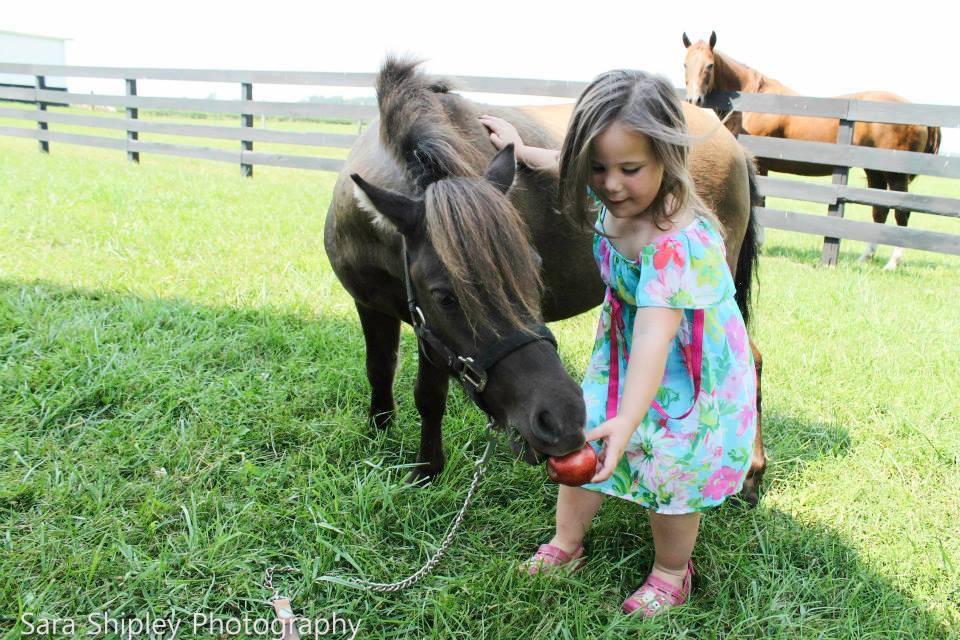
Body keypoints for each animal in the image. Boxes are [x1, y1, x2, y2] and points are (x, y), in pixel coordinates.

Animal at [682, 31, 942, 270]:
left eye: (709, 65)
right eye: (685, 64)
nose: (694, 99)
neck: (754, 96)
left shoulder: (761, 161)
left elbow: (762, 201)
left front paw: (761, 241)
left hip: (896, 175)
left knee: (901, 213)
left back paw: (893, 261)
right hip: (874, 171)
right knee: (879, 211)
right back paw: (866, 256)